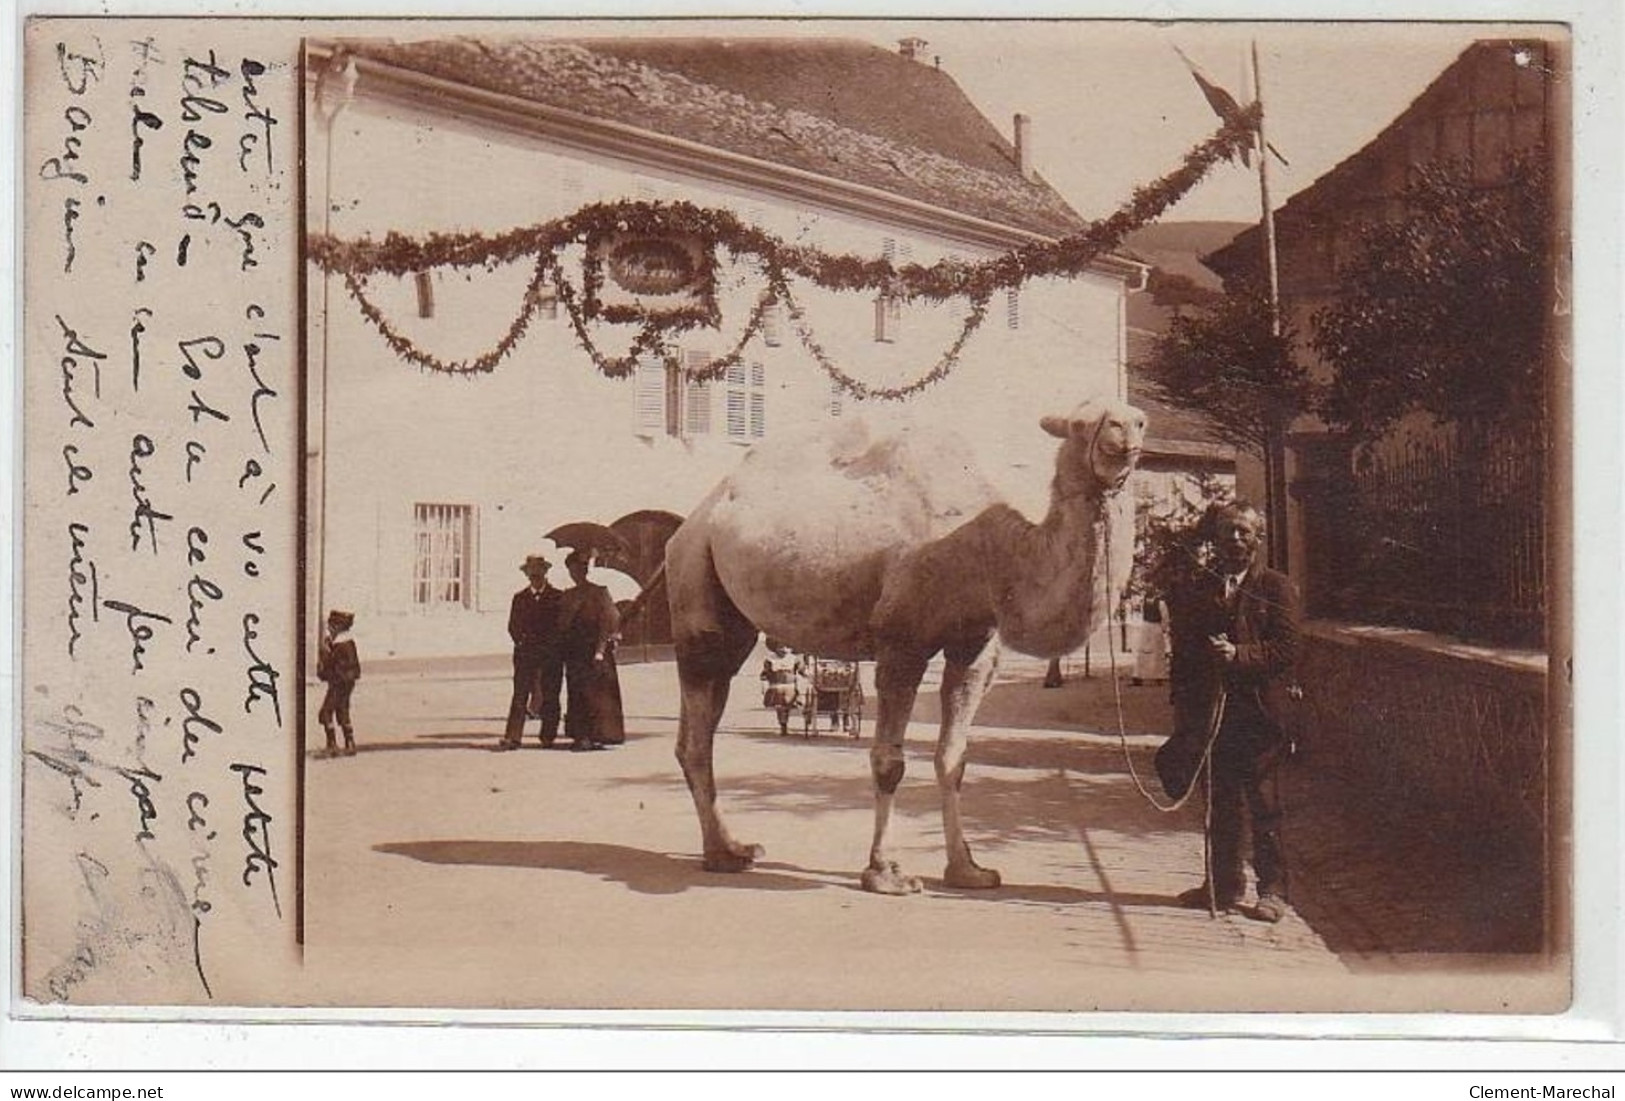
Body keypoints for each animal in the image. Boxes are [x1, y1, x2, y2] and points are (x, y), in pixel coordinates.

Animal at [659, 396, 1144, 896]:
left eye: (1139, 420)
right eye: (1082, 424)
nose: (1123, 432)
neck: (995, 552)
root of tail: (692, 521)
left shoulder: (975, 646)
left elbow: (954, 759)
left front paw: (968, 869)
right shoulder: (902, 642)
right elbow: (889, 761)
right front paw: (886, 872)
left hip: (727, 613)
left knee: (702, 715)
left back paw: (732, 849)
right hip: (695, 576)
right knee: (698, 728)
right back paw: (721, 854)